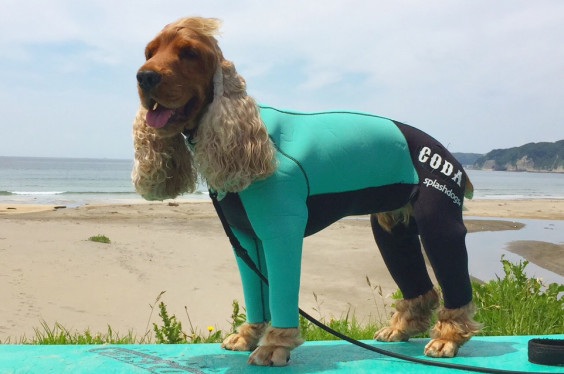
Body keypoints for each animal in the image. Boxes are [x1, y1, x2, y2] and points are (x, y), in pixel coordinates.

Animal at [132, 16, 480, 366]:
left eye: (188, 53)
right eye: (149, 52)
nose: (144, 76)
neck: (244, 130)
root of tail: (450, 156)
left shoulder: (281, 230)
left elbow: (282, 293)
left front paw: (275, 344)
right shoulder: (245, 238)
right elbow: (257, 293)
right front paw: (248, 334)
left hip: (437, 220)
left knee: (452, 273)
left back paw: (448, 336)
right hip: (392, 224)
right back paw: (401, 328)